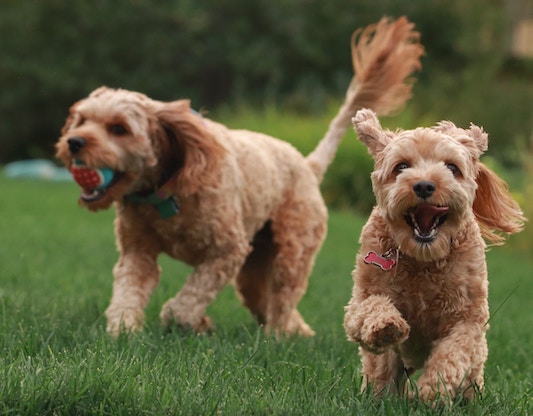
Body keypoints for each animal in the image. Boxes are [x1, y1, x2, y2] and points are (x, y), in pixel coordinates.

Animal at [57, 18, 424, 338]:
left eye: (119, 129)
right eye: (81, 120)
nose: (73, 142)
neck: (166, 191)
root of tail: (307, 165)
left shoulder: (227, 250)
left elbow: (185, 302)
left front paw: (189, 321)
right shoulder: (138, 252)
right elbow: (128, 291)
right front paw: (123, 331)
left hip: (292, 251)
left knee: (283, 296)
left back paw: (280, 336)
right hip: (254, 265)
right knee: (267, 300)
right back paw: (296, 331)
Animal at [344, 109, 524, 402]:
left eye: (452, 168)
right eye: (401, 167)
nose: (424, 185)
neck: (422, 258)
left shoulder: (467, 317)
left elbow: (453, 352)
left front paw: (434, 389)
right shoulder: (361, 297)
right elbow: (371, 307)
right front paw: (386, 326)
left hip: (475, 363)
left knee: (471, 374)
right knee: (381, 370)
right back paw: (379, 396)